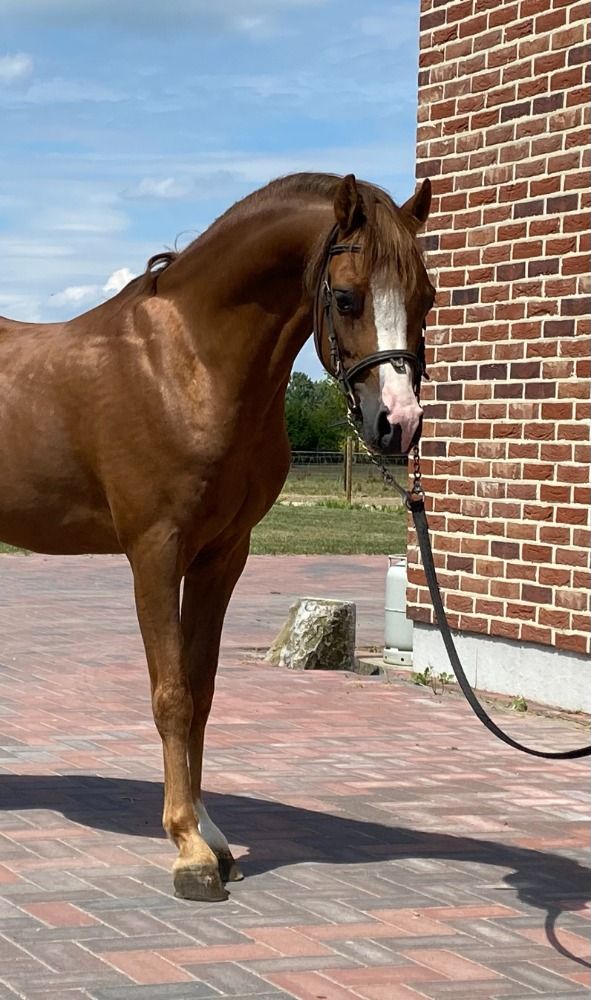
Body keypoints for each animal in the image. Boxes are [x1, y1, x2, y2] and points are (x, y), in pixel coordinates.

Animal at [0, 172, 434, 901]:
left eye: (425, 296)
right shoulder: (155, 550)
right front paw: (189, 852)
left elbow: (201, 692)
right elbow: (171, 694)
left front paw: (212, 837)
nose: (396, 424)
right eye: (346, 297)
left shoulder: (221, 555)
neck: (187, 365)